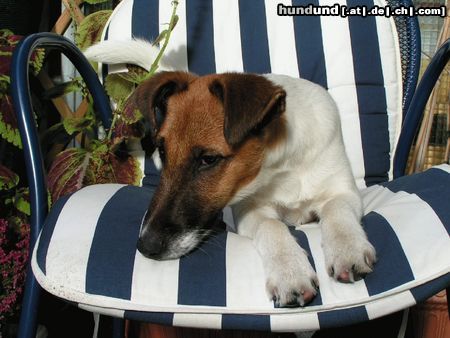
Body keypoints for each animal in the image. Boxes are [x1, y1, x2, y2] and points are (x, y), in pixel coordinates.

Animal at [85, 39, 376, 306]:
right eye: (163, 152)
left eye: (208, 159)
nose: (146, 246)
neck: (282, 168)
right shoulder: (250, 211)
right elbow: (272, 225)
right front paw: (290, 271)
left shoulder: (344, 191)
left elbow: (336, 209)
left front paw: (347, 248)